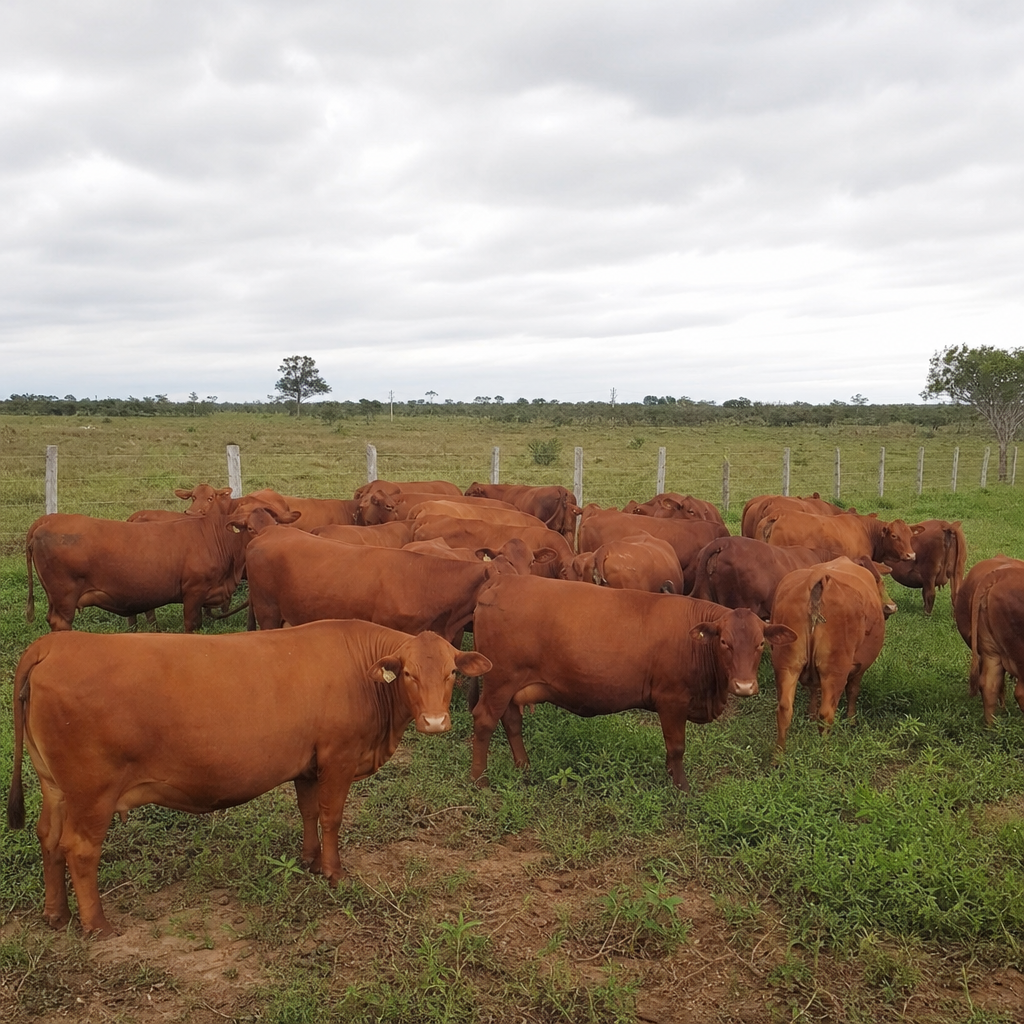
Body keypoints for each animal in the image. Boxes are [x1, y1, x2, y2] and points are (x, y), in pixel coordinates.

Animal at [6, 622, 490, 936]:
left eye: (451, 672)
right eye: (408, 673)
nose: (435, 722)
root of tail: (54, 644)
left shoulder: (308, 764)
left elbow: (308, 812)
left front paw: (309, 861)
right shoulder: (338, 758)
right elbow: (332, 816)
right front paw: (334, 872)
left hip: (55, 786)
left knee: (49, 837)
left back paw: (56, 914)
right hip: (92, 793)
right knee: (80, 849)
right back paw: (97, 925)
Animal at [24, 509, 292, 633]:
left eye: (275, 523)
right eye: (250, 528)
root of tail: (49, 519)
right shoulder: (194, 592)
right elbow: (191, 624)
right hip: (64, 598)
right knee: (61, 623)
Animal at [468, 576, 796, 791]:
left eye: (760, 644)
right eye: (725, 642)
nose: (744, 686)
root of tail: (502, 581)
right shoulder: (672, 699)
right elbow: (677, 746)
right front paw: (682, 787)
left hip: (510, 686)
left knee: (511, 721)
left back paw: (523, 766)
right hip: (500, 680)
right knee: (484, 721)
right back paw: (480, 780)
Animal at [769, 557, 892, 750]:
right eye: (879, 580)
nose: (891, 607)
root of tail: (818, 577)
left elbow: (813, 689)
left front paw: (810, 715)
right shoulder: (860, 666)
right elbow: (853, 691)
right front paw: (851, 721)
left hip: (786, 664)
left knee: (784, 709)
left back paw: (779, 755)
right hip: (835, 669)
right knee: (826, 714)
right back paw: (824, 751)